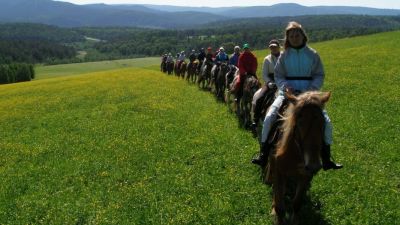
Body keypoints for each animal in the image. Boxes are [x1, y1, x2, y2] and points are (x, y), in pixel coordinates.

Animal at [266, 90, 332, 224]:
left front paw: (295, 220)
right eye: (300, 122)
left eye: (323, 123)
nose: (313, 165)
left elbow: (297, 202)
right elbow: (279, 204)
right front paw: (276, 214)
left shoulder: (306, 174)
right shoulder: (279, 172)